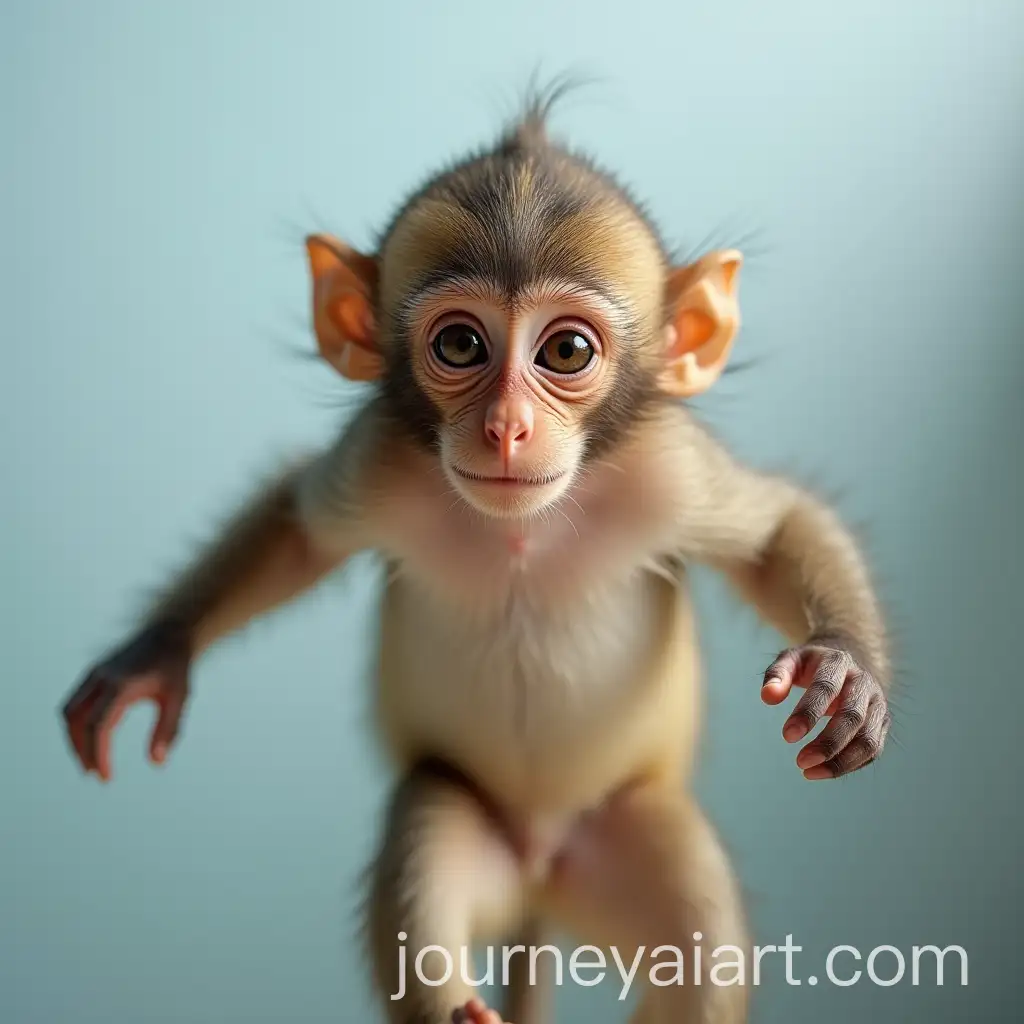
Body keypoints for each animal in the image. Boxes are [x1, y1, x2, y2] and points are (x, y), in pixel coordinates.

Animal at [61, 87, 892, 1024]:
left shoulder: (666, 470)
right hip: (471, 821)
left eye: (566, 350)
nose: (505, 427)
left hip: (619, 832)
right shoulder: (380, 459)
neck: (522, 530)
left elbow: (773, 531)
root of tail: (538, 872)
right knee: (427, 841)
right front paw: (152, 657)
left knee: (698, 951)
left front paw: (844, 674)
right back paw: (455, 1003)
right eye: (460, 345)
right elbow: (297, 529)